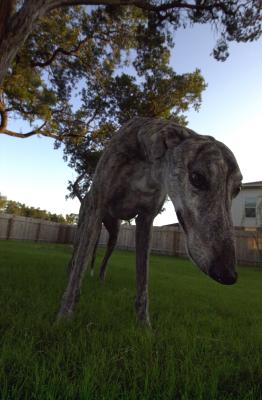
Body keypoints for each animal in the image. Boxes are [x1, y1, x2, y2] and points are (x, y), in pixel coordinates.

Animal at [58, 115, 243, 324]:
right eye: (197, 177)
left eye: (237, 189)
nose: (228, 274)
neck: (148, 162)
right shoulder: (97, 209)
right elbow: (78, 274)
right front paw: (63, 317)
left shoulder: (146, 220)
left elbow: (143, 282)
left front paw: (143, 325)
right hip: (87, 223)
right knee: (77, 255)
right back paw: (69, 271)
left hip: (114, 234)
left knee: (105, 258)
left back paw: (101, 279)